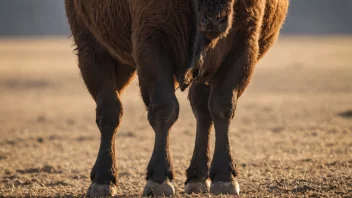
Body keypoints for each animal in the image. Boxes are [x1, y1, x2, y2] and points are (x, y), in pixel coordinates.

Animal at [64, 0, 288, 196]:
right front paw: (159, 179)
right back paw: (103, 180)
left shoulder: (244, 44)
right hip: (92, 48)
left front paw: (225, 178)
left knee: (203, 111)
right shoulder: (151, 41)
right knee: (110, 111)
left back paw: (197, 178)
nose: (215, 20)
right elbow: (164, 108)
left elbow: (222, 107)